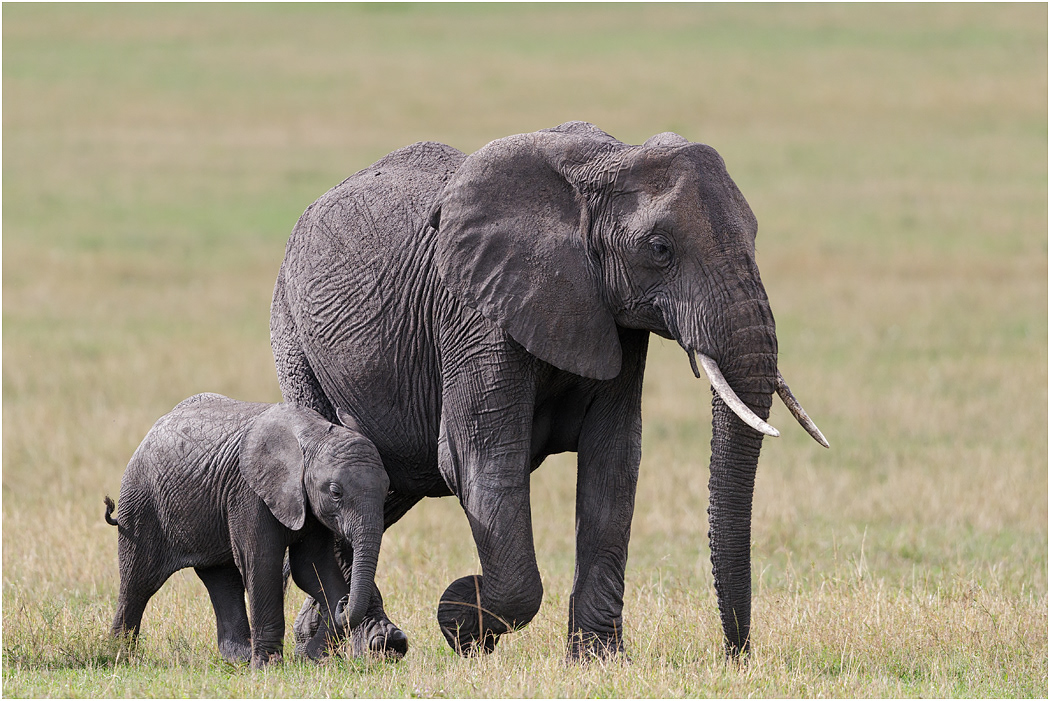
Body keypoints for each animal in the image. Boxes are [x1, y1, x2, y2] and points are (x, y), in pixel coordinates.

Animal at [105, 392, 389, 668]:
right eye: (335, 492)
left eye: (387, 489)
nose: (345, 603)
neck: (314, 435)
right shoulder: (249, 493)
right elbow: (262, 564)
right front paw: (268, 667)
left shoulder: (309, 508)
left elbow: (311, 567)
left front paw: (316, 658)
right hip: (142, 502)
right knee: (139, 582)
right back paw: (119, 656)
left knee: (222, 579)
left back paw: (239, 658)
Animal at [271, 121, 827, 660]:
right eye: (660, 249)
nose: (735, 654)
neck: (608, 162)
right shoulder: (477, 315)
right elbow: (480, 460)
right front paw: (461, 622)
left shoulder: (612, 318)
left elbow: (614, 463)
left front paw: (597, 661)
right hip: (294, 335)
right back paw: (374, 644)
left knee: (382, 487)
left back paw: (317, 642)